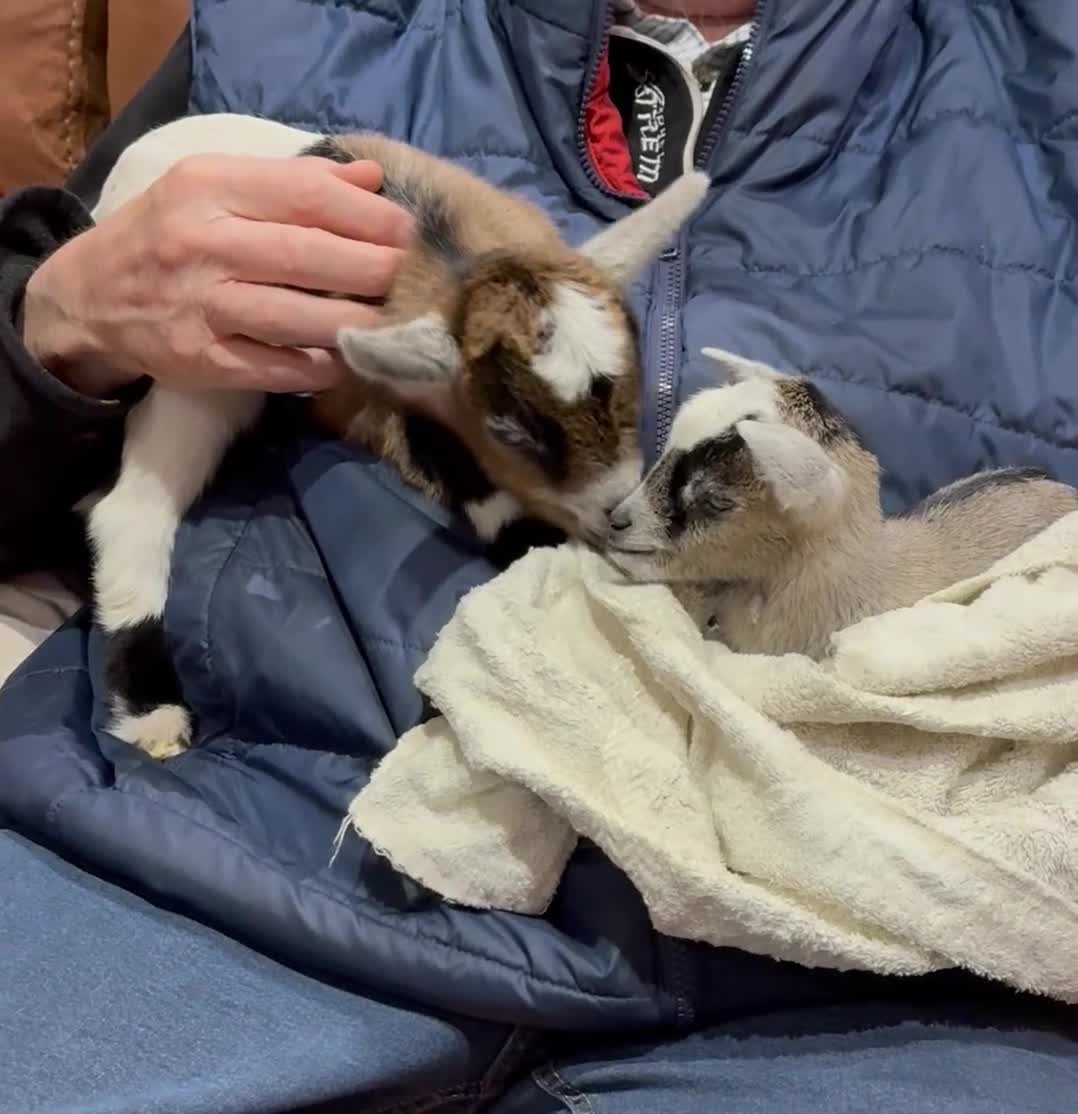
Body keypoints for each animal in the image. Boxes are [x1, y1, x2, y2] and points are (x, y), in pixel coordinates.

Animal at [88, 113, 709, 757]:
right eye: (510, 428)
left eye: (634, 384)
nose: (616, 514)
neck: (442, 250)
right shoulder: (354, 392)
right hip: (202, 366)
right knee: (130, 511)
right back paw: (152, 714)